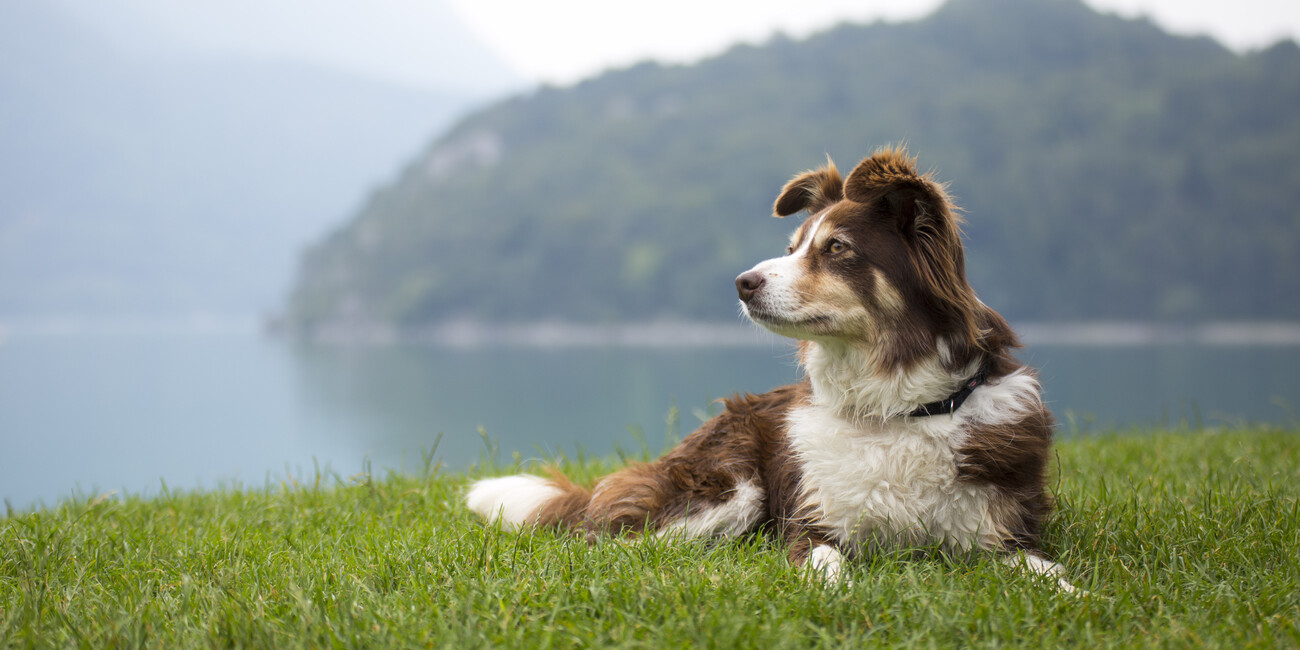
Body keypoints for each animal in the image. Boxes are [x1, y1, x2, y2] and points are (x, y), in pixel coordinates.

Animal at [467, 146, 1076, 590]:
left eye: (836, 248)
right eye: (791, 247)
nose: (741, 282)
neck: (899, 411)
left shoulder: (1003, 534)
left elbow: (1046, 573)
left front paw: (1076, 596)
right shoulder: (812, 525)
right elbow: (827, 567)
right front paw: (838, 593)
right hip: (729, 484)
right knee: (615, 542)